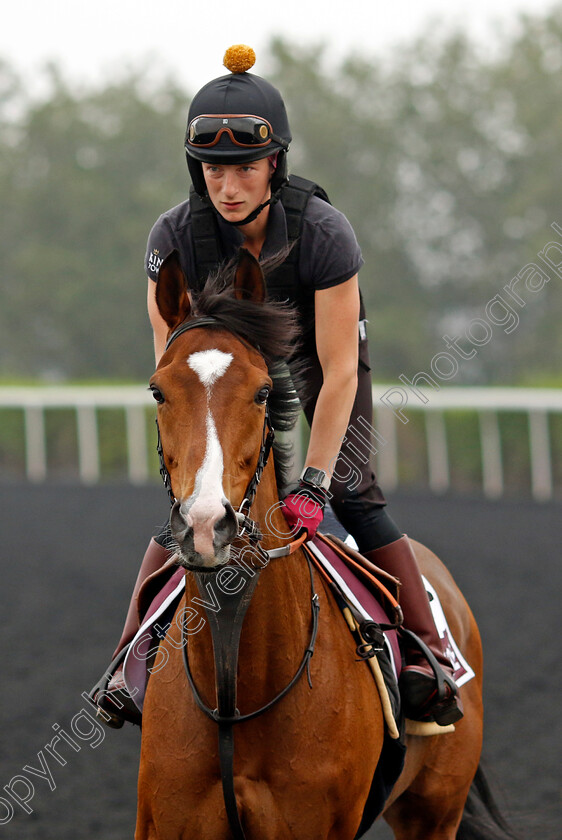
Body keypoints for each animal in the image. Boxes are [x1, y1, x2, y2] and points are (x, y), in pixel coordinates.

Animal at [135, 249, 508, 840]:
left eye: (263, 391)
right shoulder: (165, 822)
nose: (205, 524)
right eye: (158, 390)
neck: (238, 691)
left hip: (435, 812)